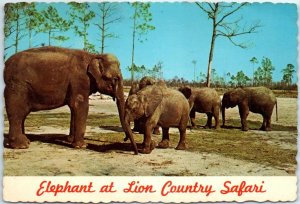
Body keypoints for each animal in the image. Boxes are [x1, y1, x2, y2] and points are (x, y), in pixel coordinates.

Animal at [4, 46, 138, 154]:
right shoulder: (80, 80)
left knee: (22, 115)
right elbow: (80, 105)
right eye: (115, 79)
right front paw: (82, 146)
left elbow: (74, 108)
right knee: (18, 113)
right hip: (18, 87)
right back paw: (22, 146)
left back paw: (26, 141)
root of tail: (5, 65)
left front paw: (69, 140)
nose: (135, 153)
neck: (93, 56)